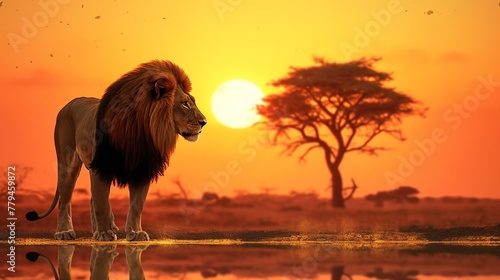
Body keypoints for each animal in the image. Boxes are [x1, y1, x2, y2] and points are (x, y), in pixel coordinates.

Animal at [24, 59, 205, 241]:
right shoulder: (100, 166)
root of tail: (70, 102)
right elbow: (102, 204)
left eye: (193, 102)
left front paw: (134, 232)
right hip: (68, 164)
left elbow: (136, 205)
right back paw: (65, 232)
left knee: (91, 199)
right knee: (65, 200)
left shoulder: (142, 168)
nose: (204, 122)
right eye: (184, 104)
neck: (140, 132)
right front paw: (104, 233)